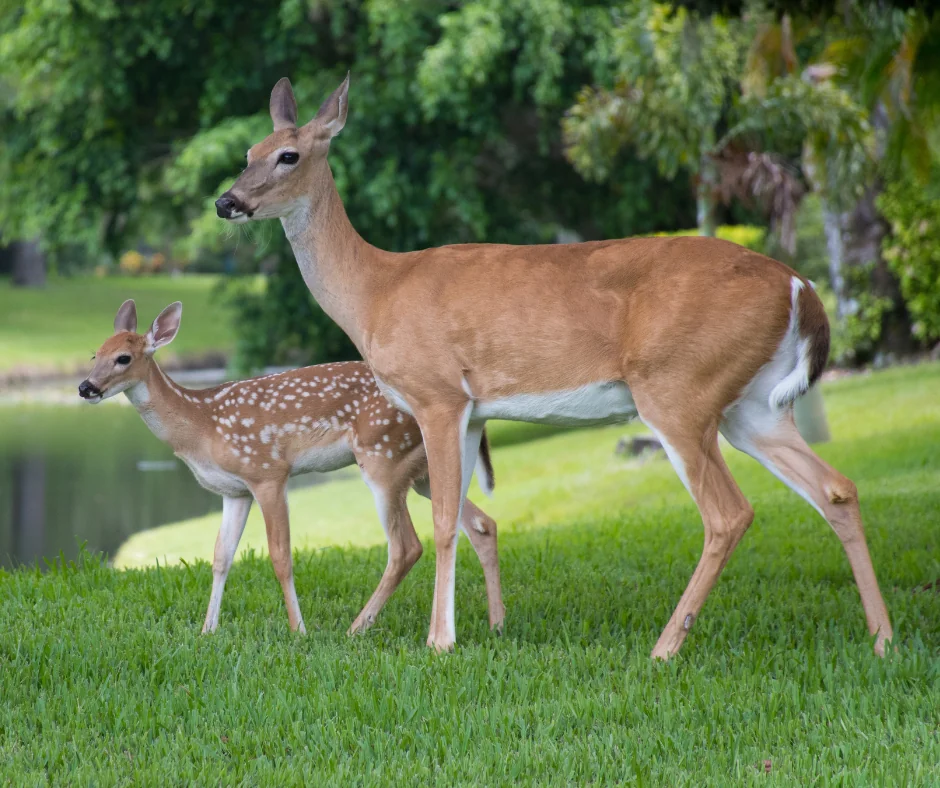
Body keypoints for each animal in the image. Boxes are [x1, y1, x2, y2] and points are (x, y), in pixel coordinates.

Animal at [78, 299, 505, 636]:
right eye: (95, 354)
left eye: (124, 358)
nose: (85, 387)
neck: (202, 424)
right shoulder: (233, 491)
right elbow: (221, 557)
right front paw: (207, 630)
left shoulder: (267, 471)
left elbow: (280, 556)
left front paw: (298, 629)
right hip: (419, 471)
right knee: (480, 523)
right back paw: (497, 624)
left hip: (382, 456)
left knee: (406, 546)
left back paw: (356, 628)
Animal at [213, 74, 893, 658]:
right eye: (248, 150)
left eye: (288, 155)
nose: (226, 201)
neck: (375, 291)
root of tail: (801, 286)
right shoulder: (472, 411)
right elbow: (470, 521)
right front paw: (476, 628)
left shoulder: (437, 394)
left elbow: (443, 520)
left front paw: (439, 641)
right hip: (751, 404)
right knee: (835, 487)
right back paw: (882, 637)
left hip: (678, 389)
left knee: (729, 514)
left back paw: (665, 647)